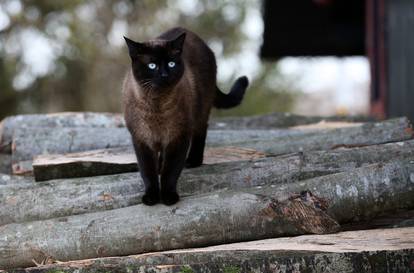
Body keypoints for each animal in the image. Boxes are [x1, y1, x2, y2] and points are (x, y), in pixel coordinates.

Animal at [121, 27, 247, 204]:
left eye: (171, 64)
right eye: (152, 66)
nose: (164, 75)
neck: (157, 106)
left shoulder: (179, 138)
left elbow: (170, 172)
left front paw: (168, 197)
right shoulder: (142, 140)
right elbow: (148, 173)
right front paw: (151, 198)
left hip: (200, 112)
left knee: (201, 132)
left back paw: (193, 162)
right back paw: (160, 167)